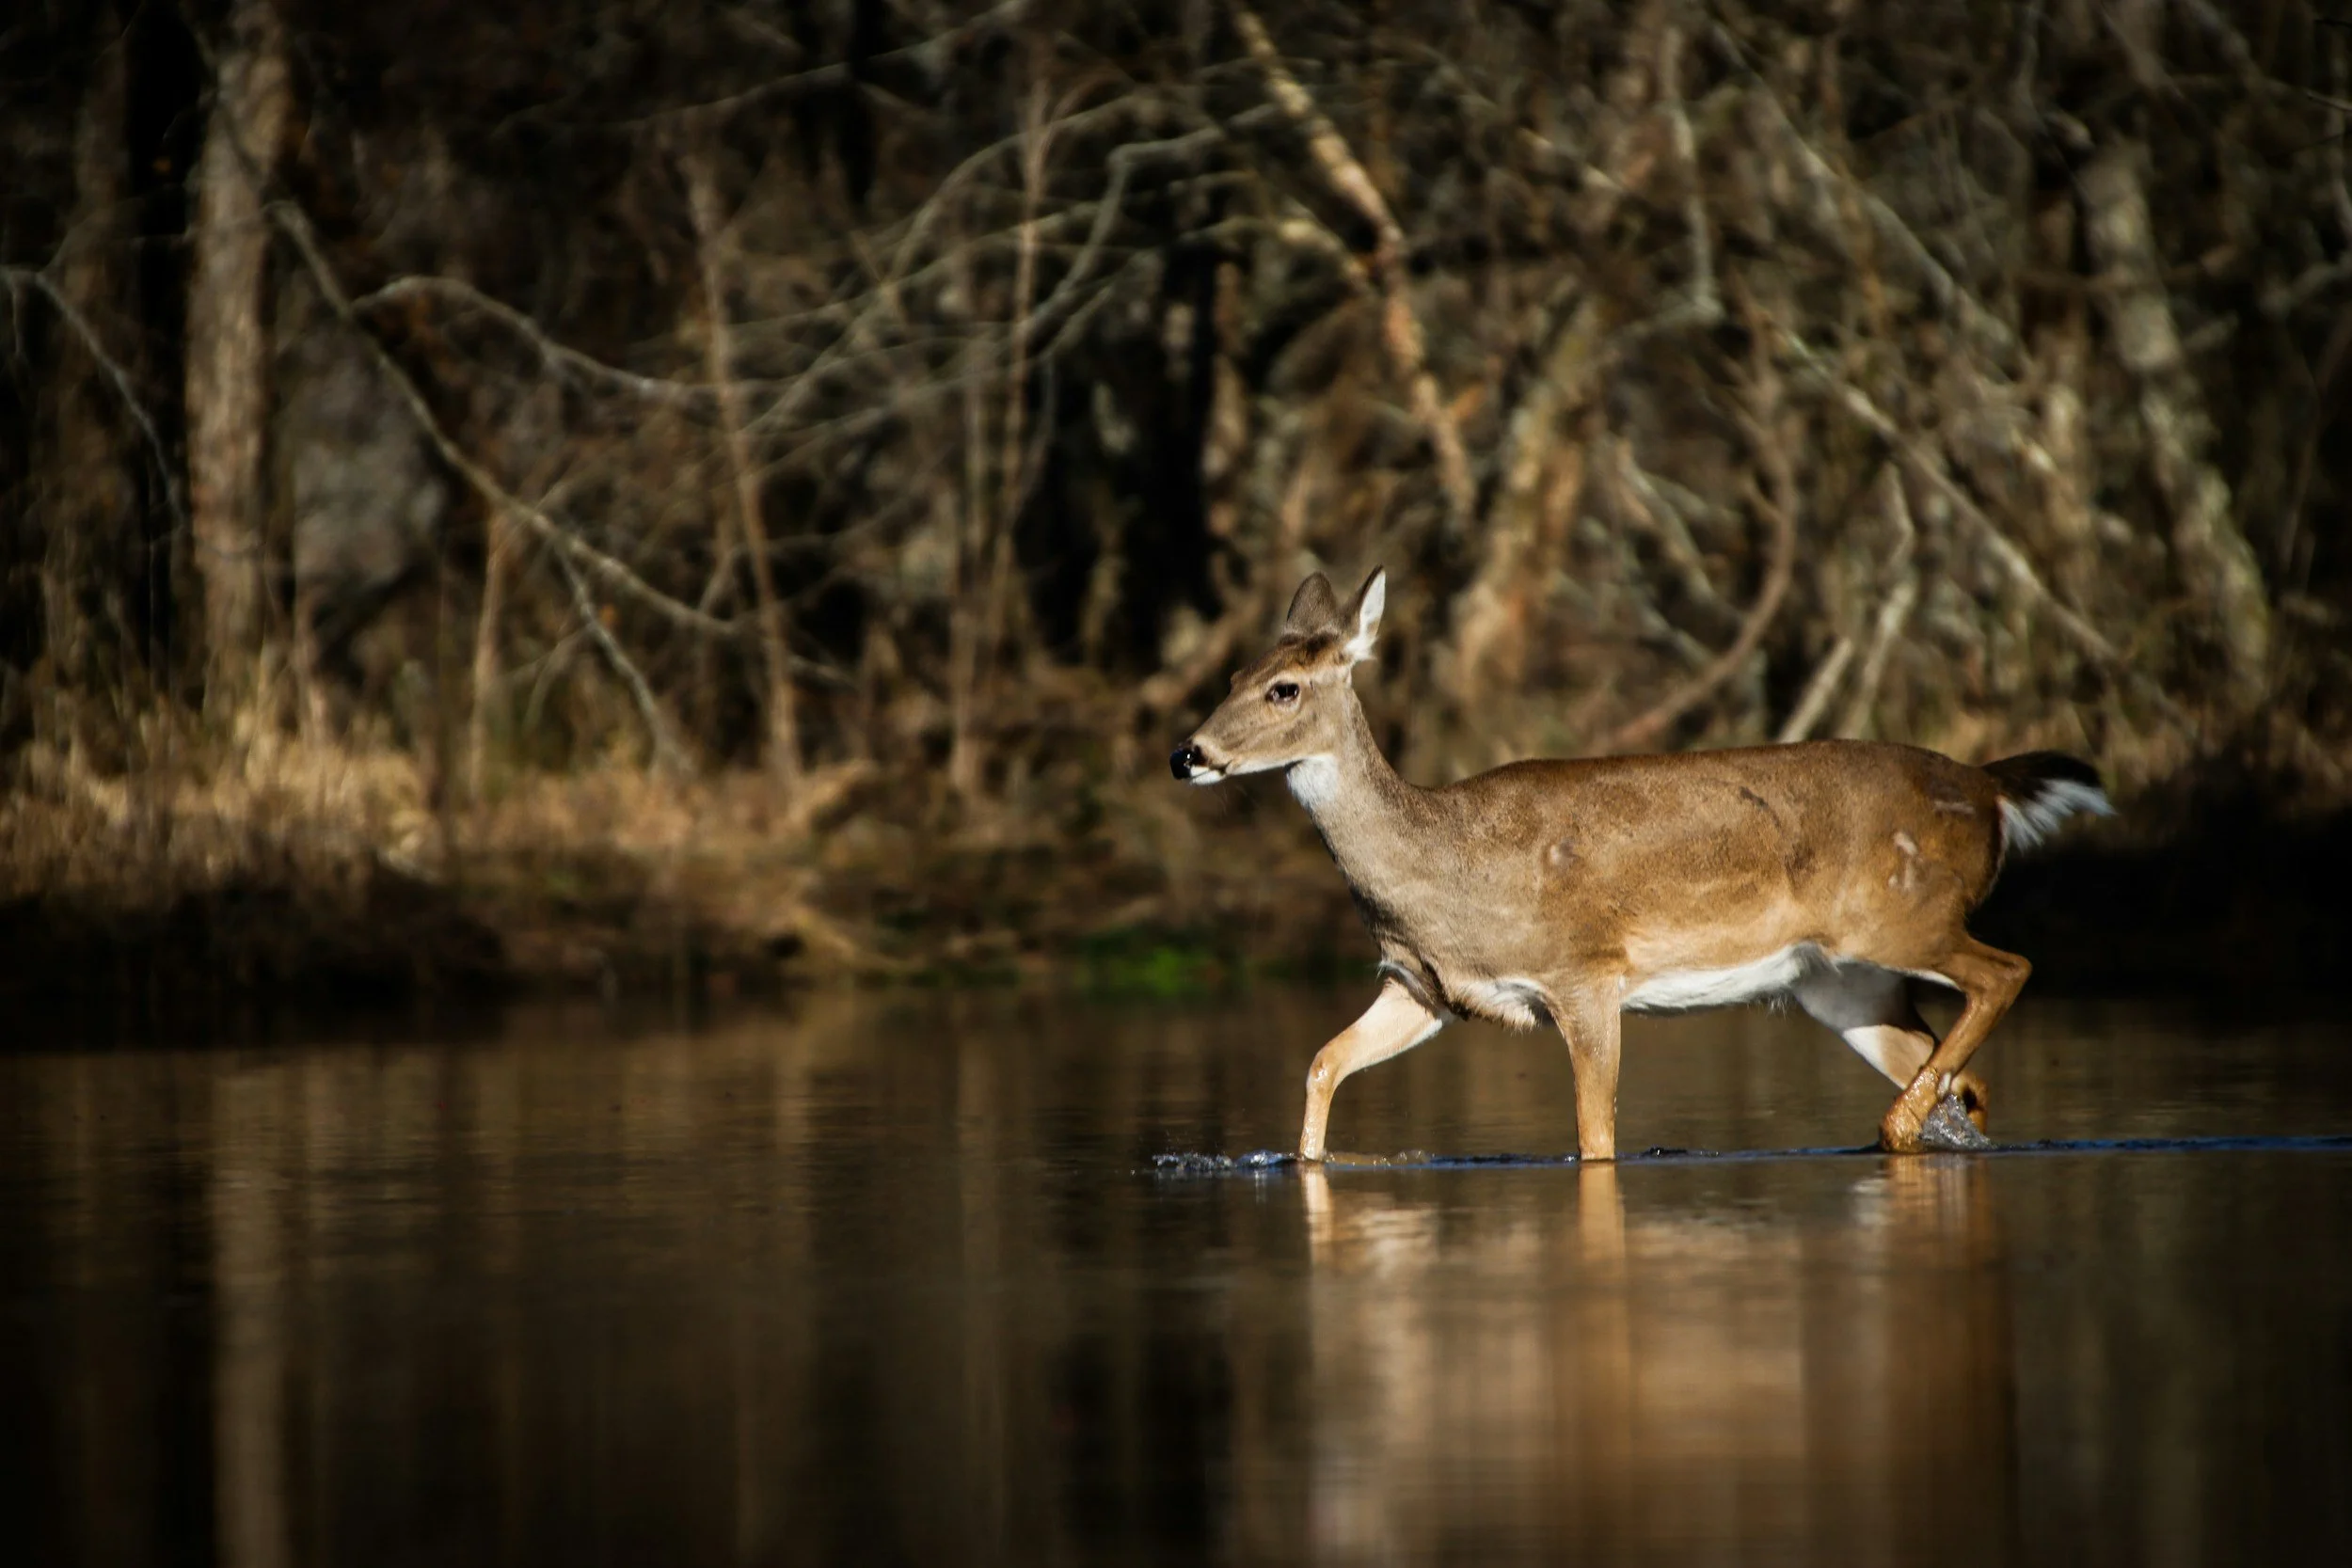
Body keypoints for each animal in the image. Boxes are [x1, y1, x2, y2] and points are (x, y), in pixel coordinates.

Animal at [1168, 568, 2113, 1160]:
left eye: (1284, 688)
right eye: (1233, 672)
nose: (1189, 753)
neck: (1450, 863)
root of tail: (1990, 789)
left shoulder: (1584, 971)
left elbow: (1596, 1138)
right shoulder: (1424, 985)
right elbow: (1323, 1060)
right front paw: (1305, 1166)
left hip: (1901, 913)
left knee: (2008, 968)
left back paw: (1896, 1125)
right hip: (1843, 982)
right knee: (1962, 1067)